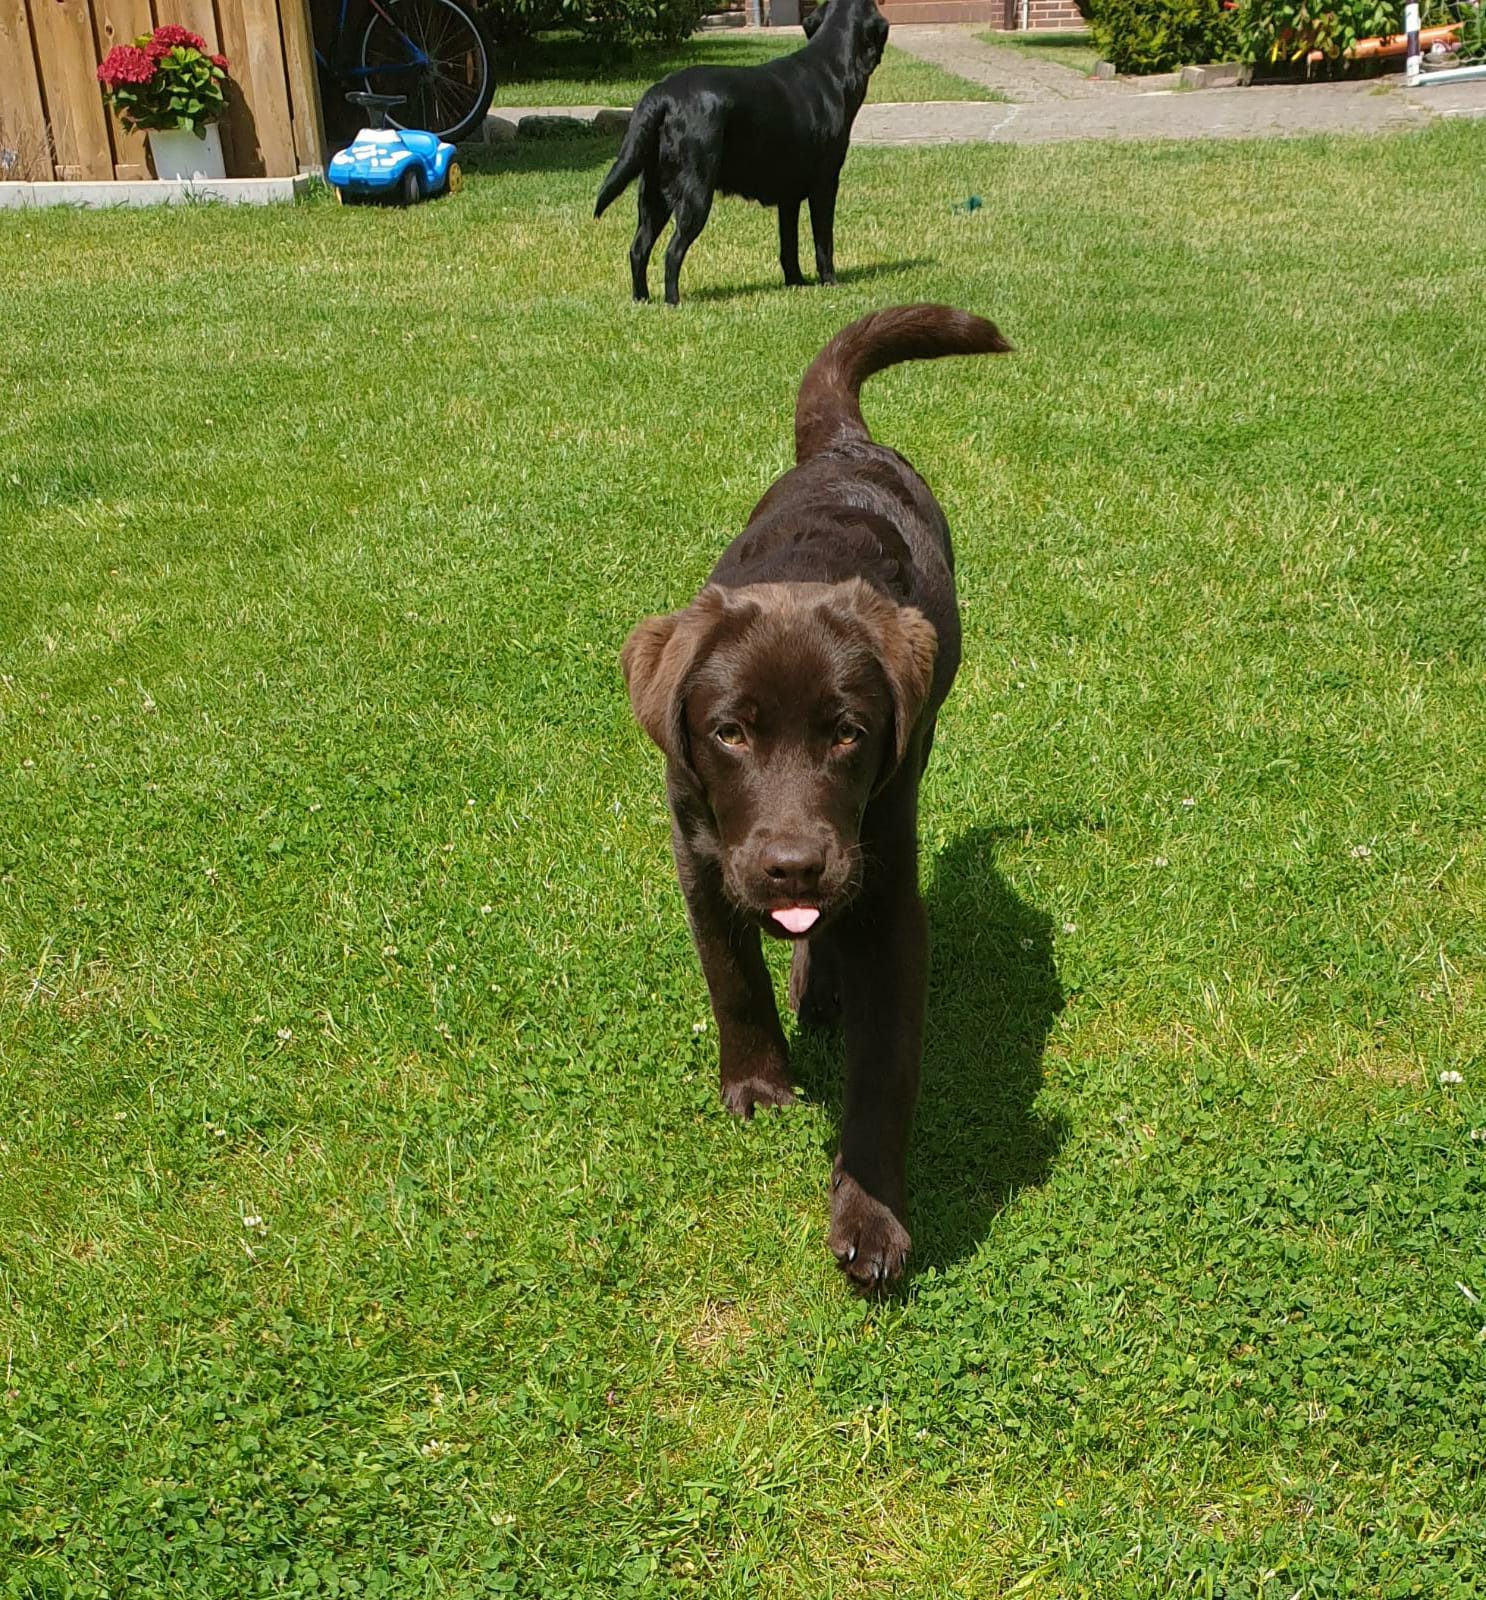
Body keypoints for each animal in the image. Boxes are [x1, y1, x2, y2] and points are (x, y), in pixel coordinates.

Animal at [593, 0, 889, 305]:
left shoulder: (789, 195)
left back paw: (641, 299)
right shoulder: (825, 183)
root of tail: (661, 93)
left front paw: (795, 282)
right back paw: (673, 302)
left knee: (638, 248)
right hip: (695, 192)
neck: (831, 67)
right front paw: (829, 281)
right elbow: (823, 241)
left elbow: (789, 244)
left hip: (654, 193)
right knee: (672, 251)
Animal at [621, 304, 1012, 1286]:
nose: (793, 865)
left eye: (846, 733)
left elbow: (884, 1068)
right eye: (730, 733)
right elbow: (731, 979)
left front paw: (870, 1216)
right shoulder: (698, 854)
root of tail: (847, 444)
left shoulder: (886, 879)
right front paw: (759, 1083)